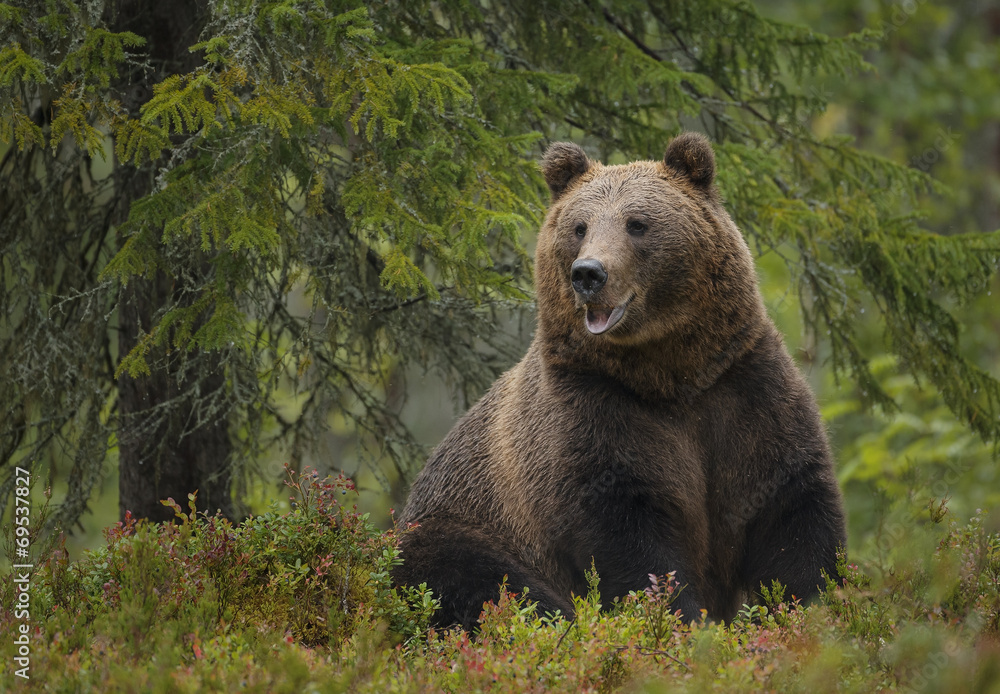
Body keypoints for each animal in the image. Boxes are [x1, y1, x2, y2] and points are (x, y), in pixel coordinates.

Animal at [394, 130, 848, 632]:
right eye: (579, 227)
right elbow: (630, 538)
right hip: (452, 526)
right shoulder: (590, 413)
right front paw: (681, 620)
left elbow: (791, 512)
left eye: (637, 223)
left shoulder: (742, 390)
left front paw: (816, 611)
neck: (669, 375)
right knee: (476, 579)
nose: (589, 273)